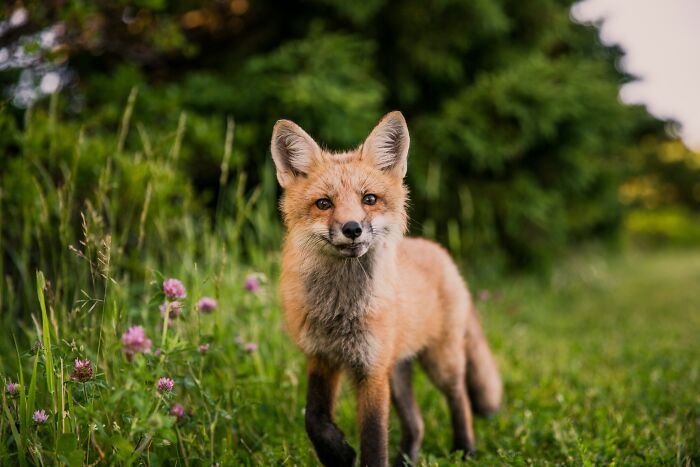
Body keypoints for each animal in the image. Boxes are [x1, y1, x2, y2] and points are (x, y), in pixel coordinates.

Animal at [271, 111, 502, 467]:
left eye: (369, 199)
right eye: (323, 203)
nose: (352, 228)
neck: (341, 311)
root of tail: (439, 251)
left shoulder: (372, 369)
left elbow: (374, 439)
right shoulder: (322, 357)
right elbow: (314, 418)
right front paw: (338, 453)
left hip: (440, 362)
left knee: (460, 397)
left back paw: (465, 449)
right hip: (398, 371)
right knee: (417, 423)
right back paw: (407, 459)